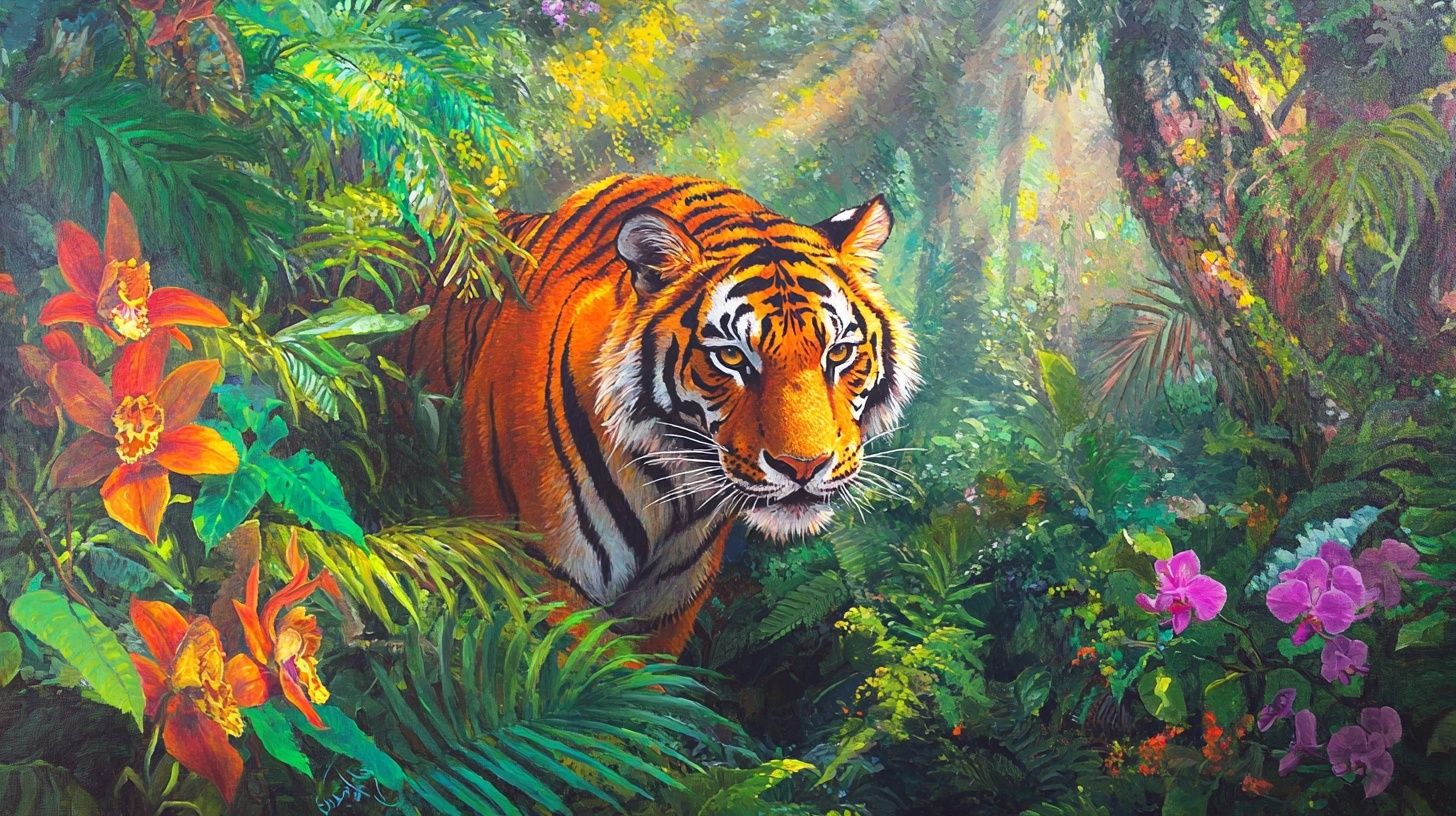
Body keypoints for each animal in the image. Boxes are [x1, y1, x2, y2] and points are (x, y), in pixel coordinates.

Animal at [401, 174, 920, 655]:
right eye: (731, 357)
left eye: (839, 352)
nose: (803, 467)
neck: (673, 488)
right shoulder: (542, 580)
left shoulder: (666, 606)